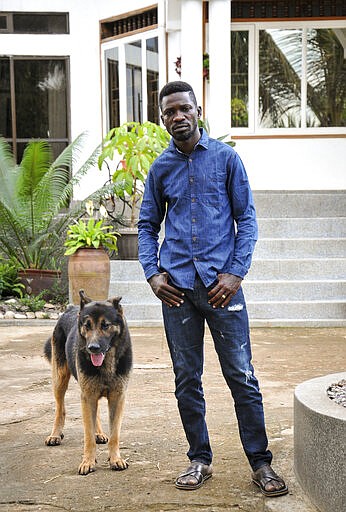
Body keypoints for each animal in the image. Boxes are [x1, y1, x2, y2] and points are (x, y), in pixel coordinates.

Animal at [43, 290, 132, 474]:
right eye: (87, 325)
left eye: (105, 325)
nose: (93, 348)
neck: (106, 364)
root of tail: (71, 308)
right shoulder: (87, 396)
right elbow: (88, 436)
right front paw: (88, 462)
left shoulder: (117, 398)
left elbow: (115, 434)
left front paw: (115, 459)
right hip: (60, 380)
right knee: (60, 408)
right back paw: (55, 434)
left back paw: (99, 433)